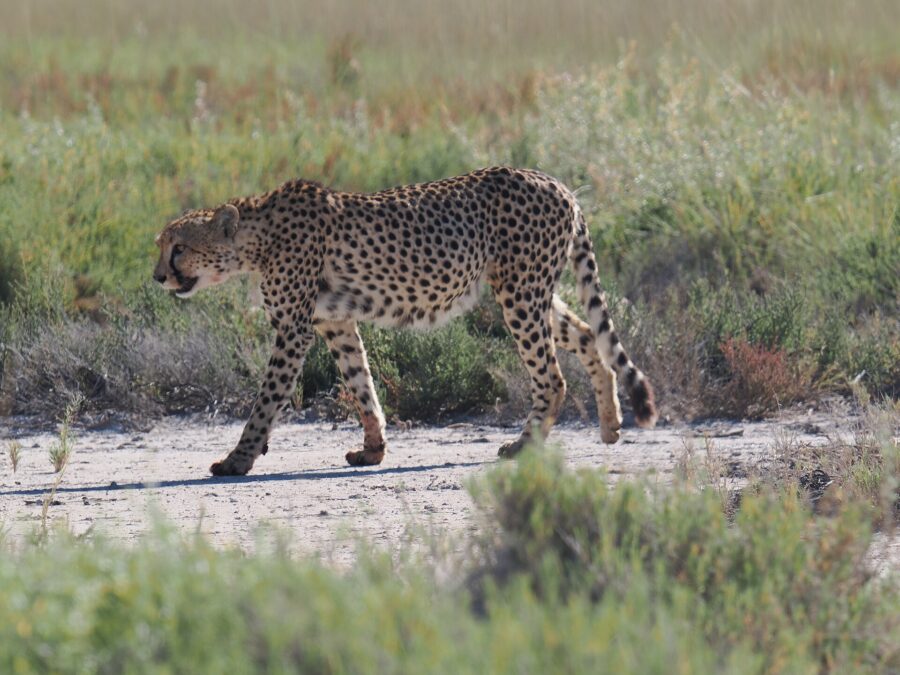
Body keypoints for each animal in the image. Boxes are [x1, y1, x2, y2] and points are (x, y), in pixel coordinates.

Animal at [153, 167, 657, 476]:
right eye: (162, 246)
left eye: (179, 247)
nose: (158, 277)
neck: (256, 237)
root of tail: (556, 183)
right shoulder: (334, 321)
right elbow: (361, 384)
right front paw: (373, 448)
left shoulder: (294, 329)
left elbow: (266, 401)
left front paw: (237, 460)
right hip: (530, 291)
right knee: (590, 335)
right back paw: (610, 424)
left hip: (519, 293)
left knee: (551, 377)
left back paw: (522, 447)